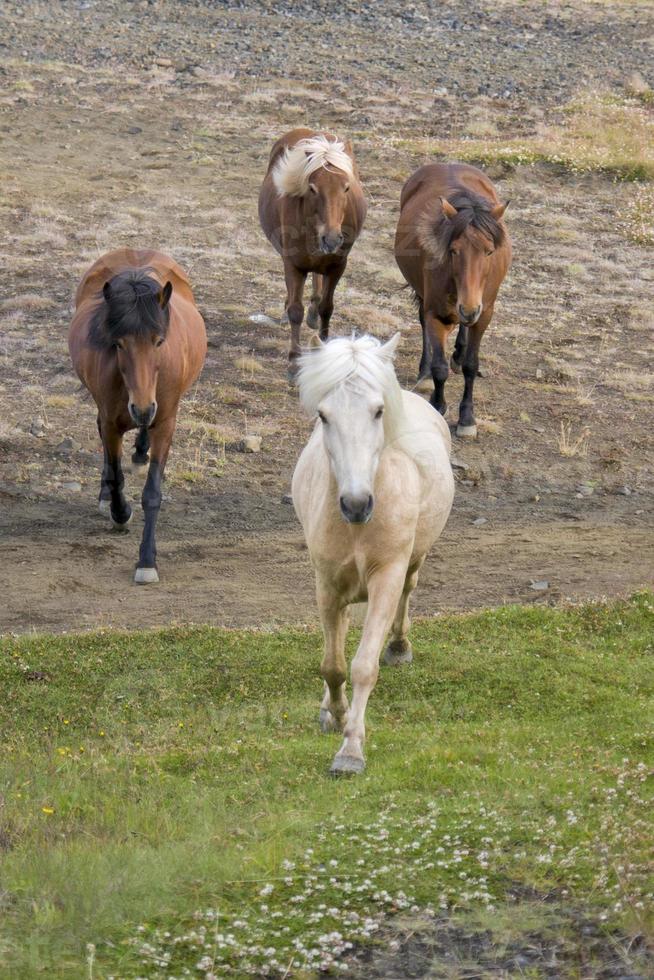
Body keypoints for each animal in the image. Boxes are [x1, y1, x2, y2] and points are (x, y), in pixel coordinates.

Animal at [69, 249, 208, 580]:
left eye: (159, 340)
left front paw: (146, 560)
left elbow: (152, 493)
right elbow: (115, 474)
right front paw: (120, 514)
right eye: (118, 343)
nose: (142, 407)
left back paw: (140, 450)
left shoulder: (166, 422)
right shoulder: (110, 422)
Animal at [258, 126, 368, 376]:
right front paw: (293, 361)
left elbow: (327, 307)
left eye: (347, 187)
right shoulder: (293, 265)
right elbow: (295, 311)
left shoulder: (337, 265)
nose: (332, 238)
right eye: (312, 188)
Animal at [294, 334, 456, 772]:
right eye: (323, 415)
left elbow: (363, 666)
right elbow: (332, 666)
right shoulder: (326, 584)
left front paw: (351, 750)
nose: (355, 504)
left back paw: (399, 647)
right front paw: (336, 713)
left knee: (407, 595)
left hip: (412, 563)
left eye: (378, 411)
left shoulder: (387, 576)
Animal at [394, 164, 512, 436]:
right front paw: (437, 405)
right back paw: (424, 371)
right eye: (453, 250)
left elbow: (470, 364)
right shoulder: (435, 312)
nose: (468, 308)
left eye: (489, 251)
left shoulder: (484, 314)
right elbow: (440, 367)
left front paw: (467, 418)